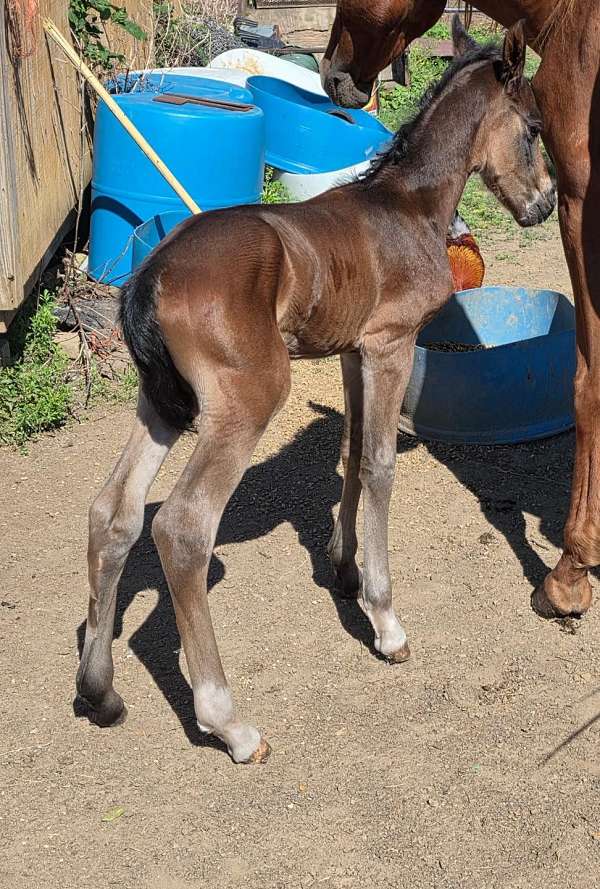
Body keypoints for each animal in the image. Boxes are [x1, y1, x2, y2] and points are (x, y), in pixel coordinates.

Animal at [76, 20, 554, 763]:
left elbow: (354, 452)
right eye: (532, 127)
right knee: (181, 527)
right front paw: (386, 621)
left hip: (161, 404)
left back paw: (99, 691)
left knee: (114, 512)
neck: (406, 207)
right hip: (246, 401)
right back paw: (231, 724)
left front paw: (345, 567)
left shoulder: (355, 352)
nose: (545, 205)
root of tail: (150, 272)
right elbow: (381, 465)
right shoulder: (390, 344)